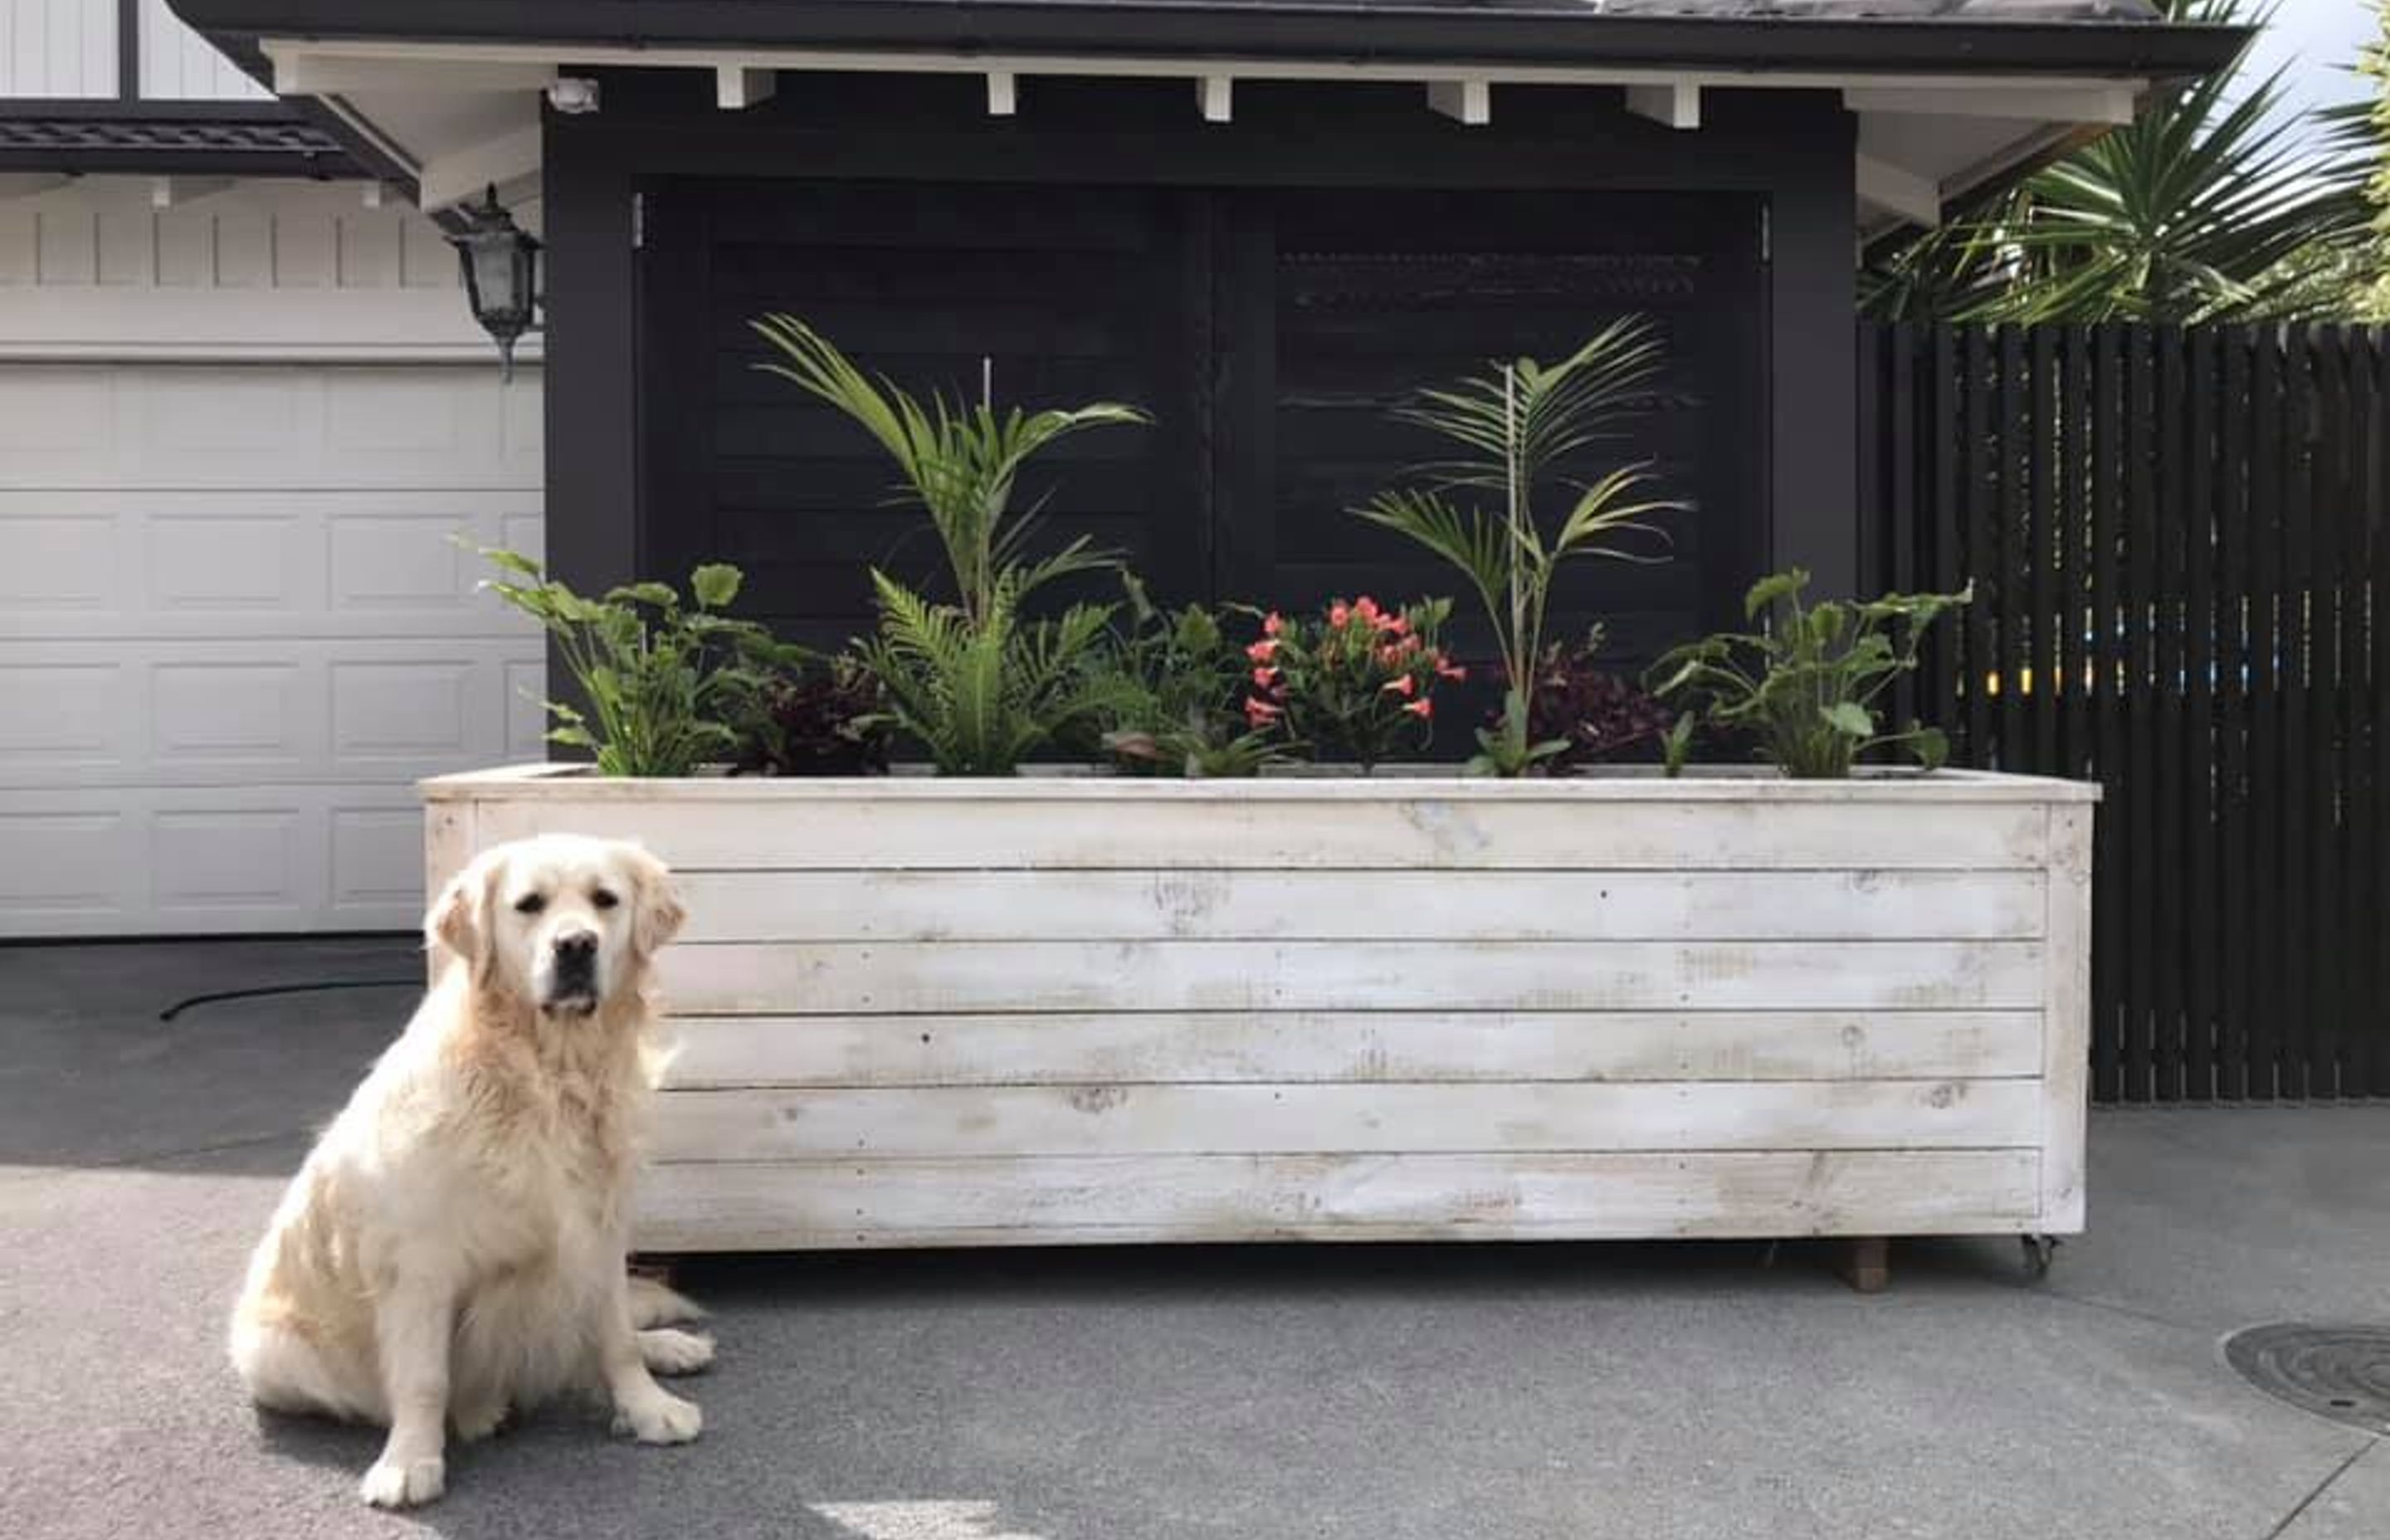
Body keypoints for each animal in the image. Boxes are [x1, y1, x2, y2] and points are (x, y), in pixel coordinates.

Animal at [227, 836, 712, 1511]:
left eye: (604, 900)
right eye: (529, 904)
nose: (576, 945)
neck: (548, 1074)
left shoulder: (598, 1228)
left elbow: (613, 1337)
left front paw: (647, 1408)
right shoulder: (420, 1259)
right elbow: (424, 1377)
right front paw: (410, 1461)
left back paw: (667, 1347)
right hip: (274, 1349)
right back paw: (479, 1409)